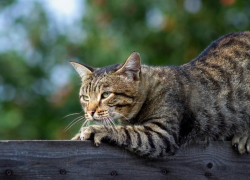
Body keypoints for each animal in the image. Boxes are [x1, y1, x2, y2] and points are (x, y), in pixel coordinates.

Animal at [69, 31, 250, 158]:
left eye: (106, 95)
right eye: (85, 98)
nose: (90, 112)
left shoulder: (162, 133)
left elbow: (128, 132)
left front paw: (95, 130)